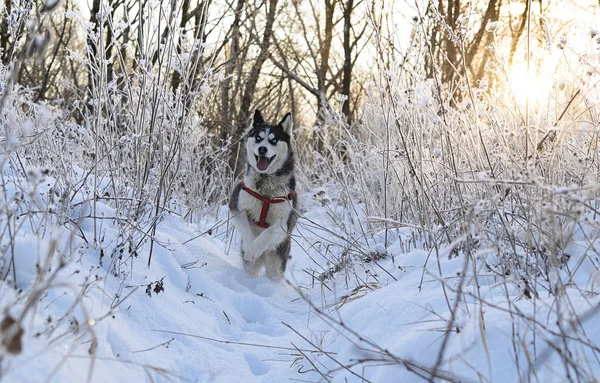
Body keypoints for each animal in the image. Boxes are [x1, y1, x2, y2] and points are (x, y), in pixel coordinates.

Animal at [227, 109, 298, 280]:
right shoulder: (237, 207)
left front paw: (254, 249)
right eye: (258, 138)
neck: (265, 185)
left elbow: (266, 233)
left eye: (274, 140)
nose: (262, 149)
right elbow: (246, 230)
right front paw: (249, 247)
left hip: (276, 263)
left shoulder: (283, 224)